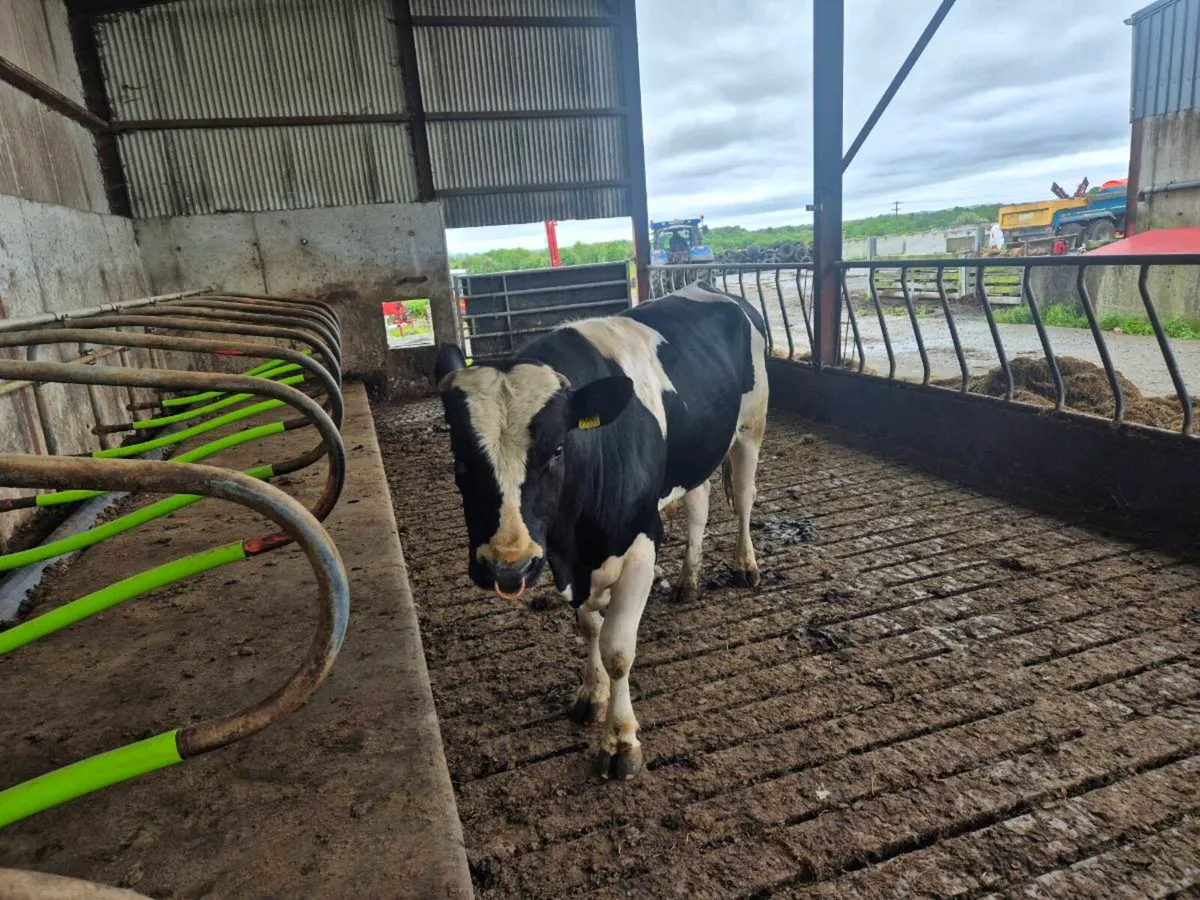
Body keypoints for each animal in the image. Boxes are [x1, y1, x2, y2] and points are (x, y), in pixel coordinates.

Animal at [434, 281, 768, 780]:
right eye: (460, 459)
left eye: (557, 449)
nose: (507, 565)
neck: (575, 545)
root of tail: (708, 287)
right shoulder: (568, 560)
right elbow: (590, 626)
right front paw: (591, 696)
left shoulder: (641, 543)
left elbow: (617, 649)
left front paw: (621, 742)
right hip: (695, 453)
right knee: (699, 504)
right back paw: (688, 581)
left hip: (750, 426)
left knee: (744, 498)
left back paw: (745, 565)